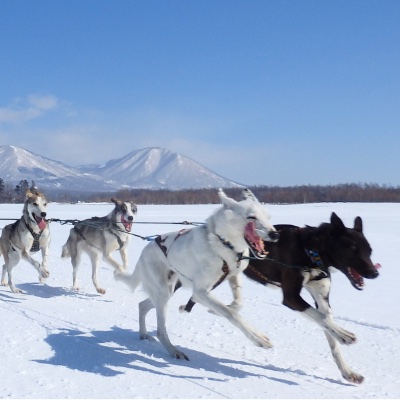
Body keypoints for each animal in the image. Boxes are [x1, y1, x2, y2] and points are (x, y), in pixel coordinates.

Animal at [115, 188, 278, 360]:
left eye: (268, 217)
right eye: (252, 217)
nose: (275, 234)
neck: (221, 243)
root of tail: (143, 253)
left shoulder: (233, 274)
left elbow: (237, 303)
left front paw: (219, 310)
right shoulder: (200, 292)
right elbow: (231, 314)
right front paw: (258, 338)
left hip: (167, 291)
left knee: (142, 305)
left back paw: (143, 334)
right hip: (162, 294)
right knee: (160, 331)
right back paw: (174, 351)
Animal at [181, 212, 378, 384]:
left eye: (369, 250)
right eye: (353, 249)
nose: (375, 273)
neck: (309, 250)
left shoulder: (322, 298)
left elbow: (328, 328)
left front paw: (348, 371)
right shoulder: (291, 297)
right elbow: (321, 318)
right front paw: (345, 335)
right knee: (197, 297)